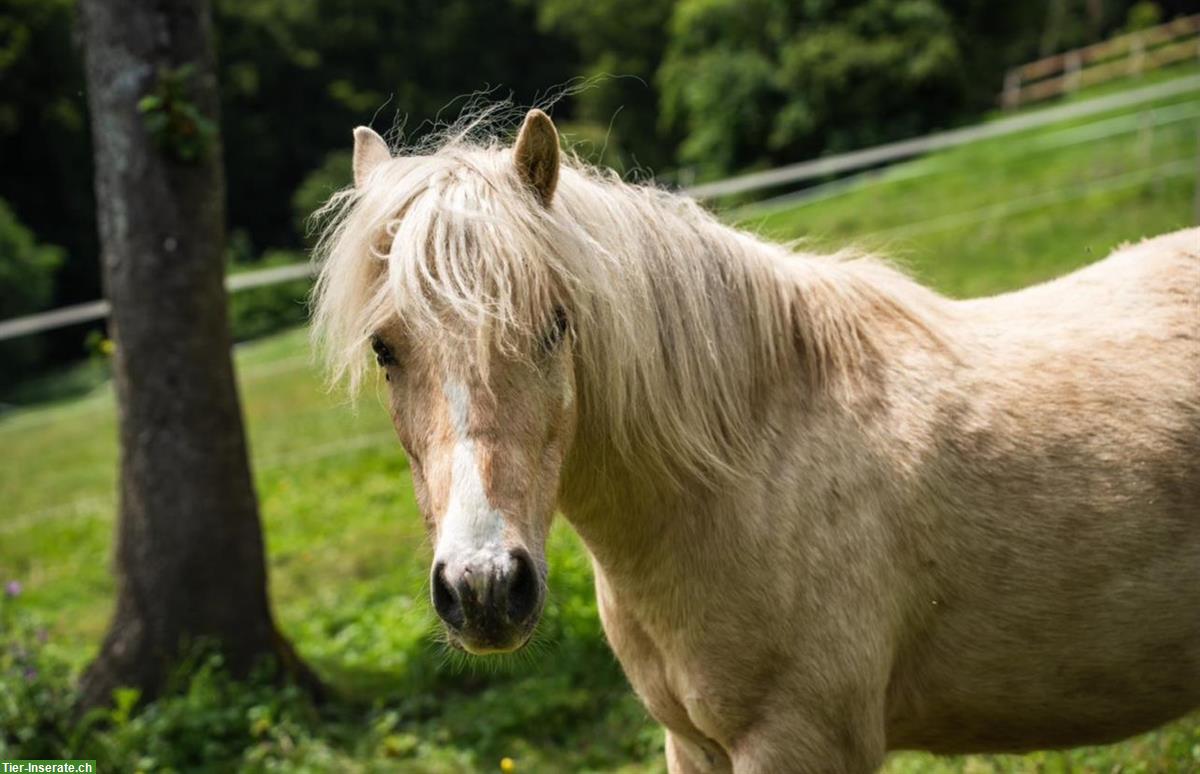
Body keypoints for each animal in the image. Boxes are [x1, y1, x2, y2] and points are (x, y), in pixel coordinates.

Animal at [312, 110, 1200, 772]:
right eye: (385, 349)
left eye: (556, 324)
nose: (485, 590)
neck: (741, 472)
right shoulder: (693, 745)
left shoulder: (798, 742)